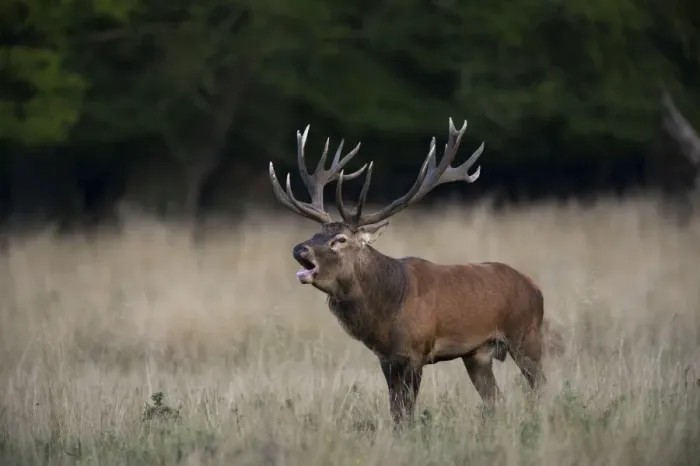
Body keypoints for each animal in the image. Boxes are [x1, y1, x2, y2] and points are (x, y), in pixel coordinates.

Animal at [268, 118, 559, 425]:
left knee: (541, 388)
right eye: (316, 234)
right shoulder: (386, 358)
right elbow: (396, 412)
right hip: (477, 354)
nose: (299, 250)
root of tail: (535, 287)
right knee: (496, 400)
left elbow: (406, 413)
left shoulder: (415, 352)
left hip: (525, 335)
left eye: (340, 240)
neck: (386, 311)